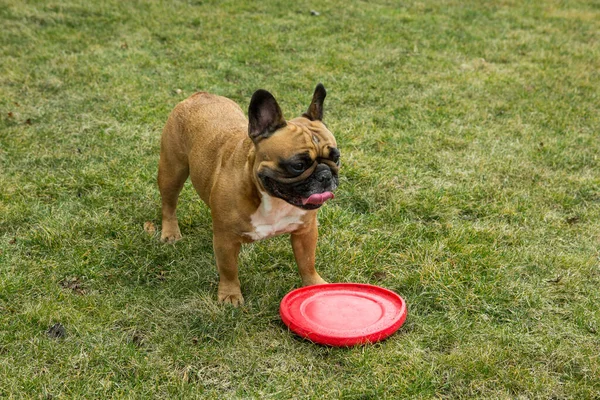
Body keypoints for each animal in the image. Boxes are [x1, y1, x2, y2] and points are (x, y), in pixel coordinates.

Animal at [157, 83, 340, 304]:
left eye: (336, 158)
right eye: (297, 165)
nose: (325, 175)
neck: (273, 200)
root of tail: (200, 95)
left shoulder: (305, 231)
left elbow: (307, 261)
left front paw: (314, 284)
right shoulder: (225, 240)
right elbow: (228, 269)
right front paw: (230, 295)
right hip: (172, 171)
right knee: (169, 203)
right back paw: (170, 232)